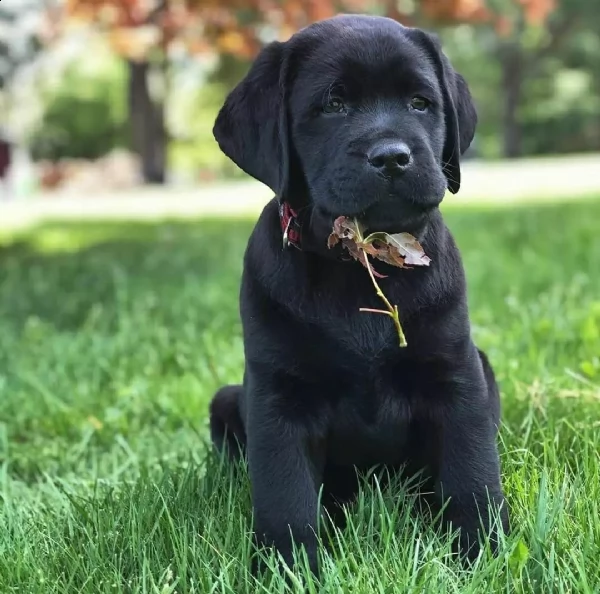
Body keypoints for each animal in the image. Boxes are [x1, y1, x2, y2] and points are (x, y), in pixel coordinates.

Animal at [209, 12, 508, 568]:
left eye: (420, 103)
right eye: (333, 105)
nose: (392, 157)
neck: (362, 261)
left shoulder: (457, 375)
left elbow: (472, 472)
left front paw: (484, 552)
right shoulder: (278, 394)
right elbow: (284, 493)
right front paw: (288, 567)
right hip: (227, 399)